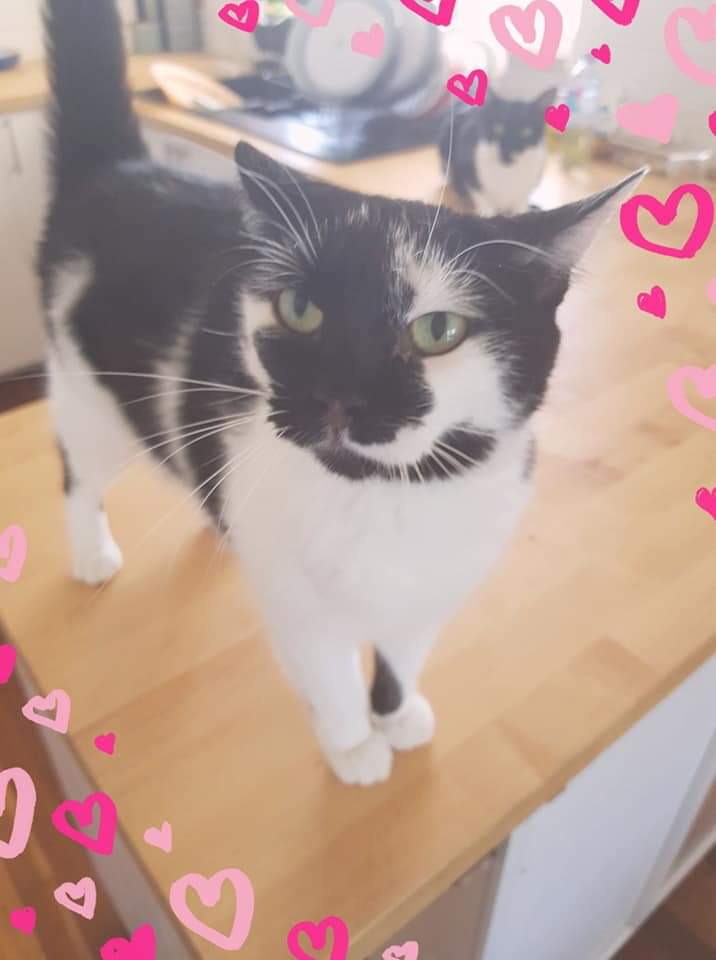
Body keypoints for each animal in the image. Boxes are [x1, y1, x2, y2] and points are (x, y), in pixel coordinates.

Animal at [439, 87, 557, 216]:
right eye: (498, 129)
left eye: (526, 132)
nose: (507, 152)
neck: (506, 172)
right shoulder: (466, 160)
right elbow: (478, 193)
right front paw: (486, 211)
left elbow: (520, 203)